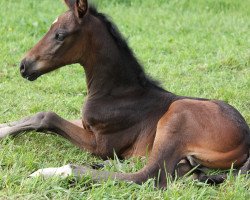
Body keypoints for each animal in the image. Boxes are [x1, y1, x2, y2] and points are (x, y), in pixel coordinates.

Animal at [0, 0, 250, 188]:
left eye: (60, 35)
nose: (23, 66)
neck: (117, 93)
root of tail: (246, 138)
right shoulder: (86, 125)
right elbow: (37, 116)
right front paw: (3, 129)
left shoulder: (100, 144)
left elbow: (48, 117)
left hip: (177, 115)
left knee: (147, 176)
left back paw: (53, 172)